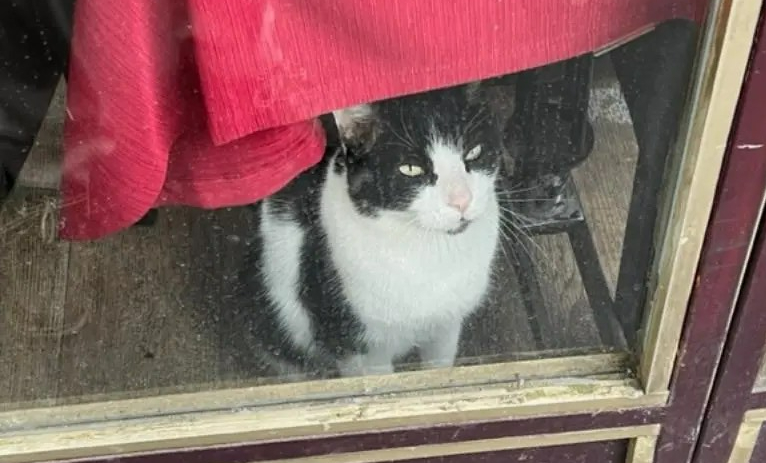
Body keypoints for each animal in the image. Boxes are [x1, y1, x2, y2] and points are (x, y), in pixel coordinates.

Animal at [235, 82, 504, 378]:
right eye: (411, 169)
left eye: (474, 153)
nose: (462, 200)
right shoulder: (353, 344)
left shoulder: (446, 326)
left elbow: (440, 366)